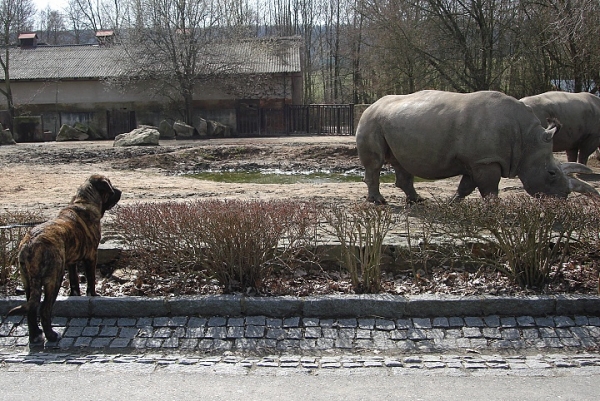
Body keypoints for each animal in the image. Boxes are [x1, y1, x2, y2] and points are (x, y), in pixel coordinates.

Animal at [7, 173, 120, 342]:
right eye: (111, 187)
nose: (120, 191)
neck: (84, 201)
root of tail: (30, 244)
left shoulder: (71, 262)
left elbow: (74, 282)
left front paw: (76, 296)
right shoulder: (91, 256)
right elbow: (91, 281)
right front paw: (93, 295)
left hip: (28, 281)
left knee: (31, 309)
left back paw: (35, 335)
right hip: (54, 279)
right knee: (44, 309)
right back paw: (52, 335)